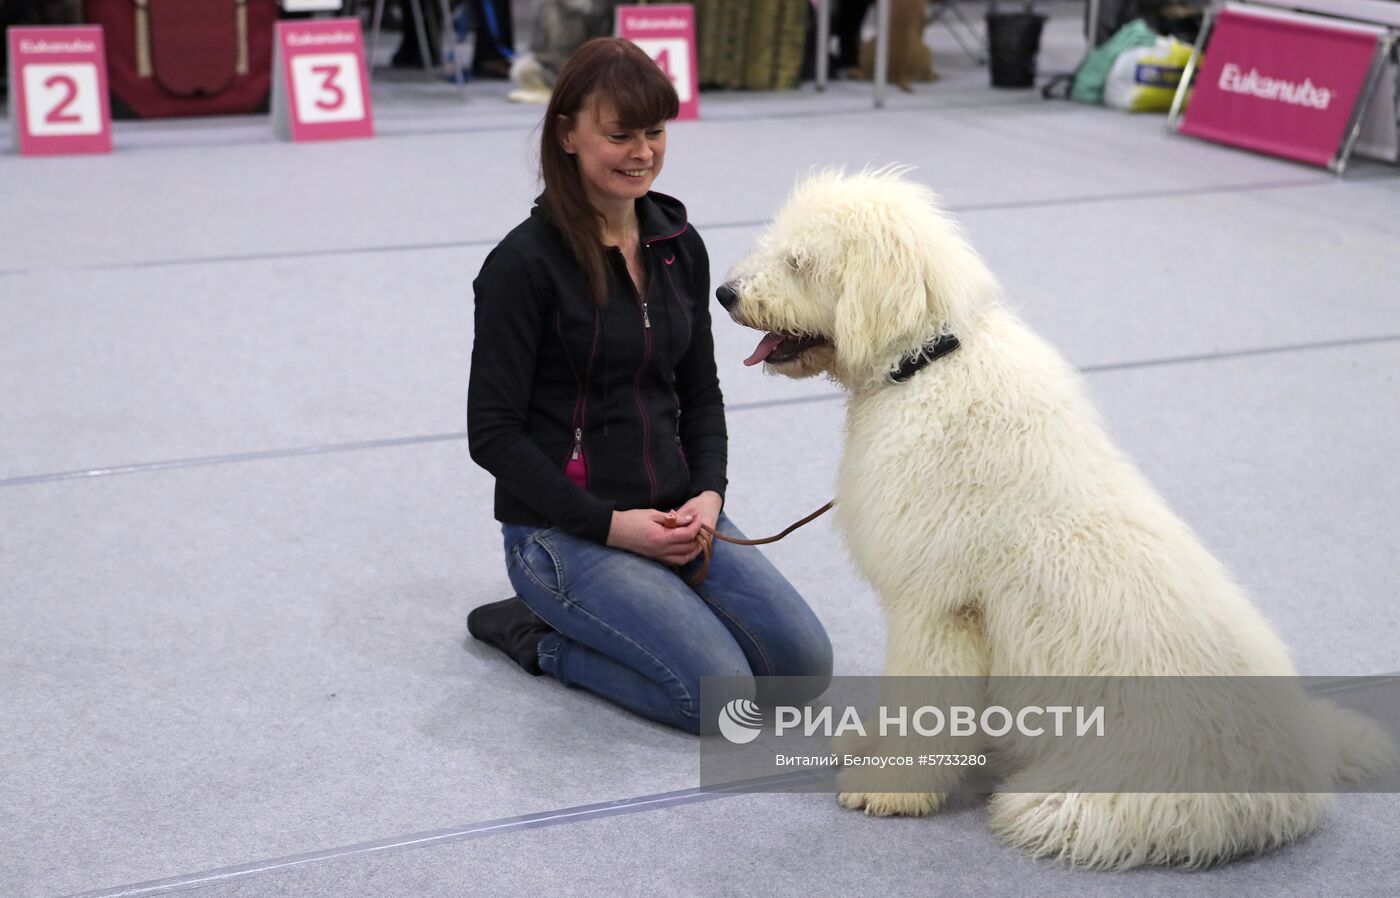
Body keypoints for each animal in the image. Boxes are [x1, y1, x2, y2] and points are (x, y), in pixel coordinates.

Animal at [716, 169, 1394, 868]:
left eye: (800, 262)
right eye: (778, 246)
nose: (724, 292)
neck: (926, 365)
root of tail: (1303, 776)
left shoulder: (939, 607)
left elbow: (924, 699)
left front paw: (890, 787)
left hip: (1125, 795)